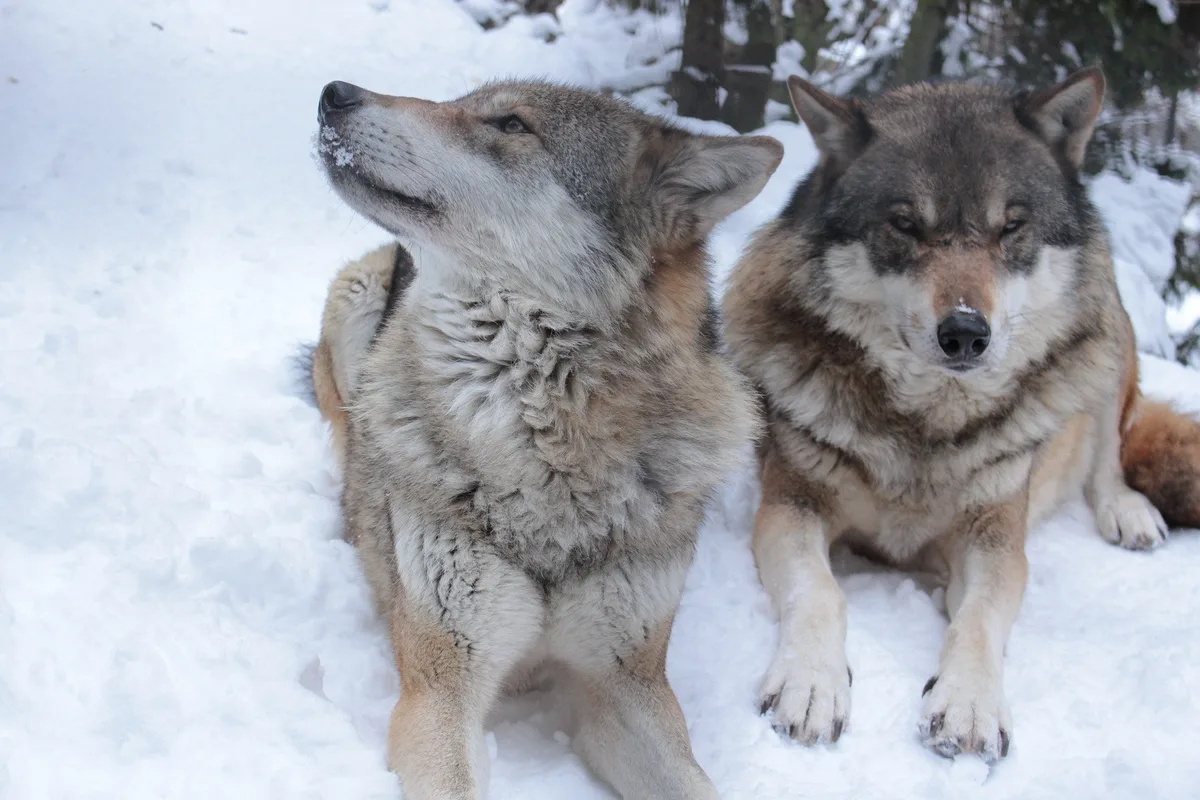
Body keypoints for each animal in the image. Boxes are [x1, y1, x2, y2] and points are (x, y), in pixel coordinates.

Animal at [309, 78, 782, 798]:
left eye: (510, 124)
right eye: (462, 101)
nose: (335, 92)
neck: (548, 452)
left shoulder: (627, 685)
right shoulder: (441, 689)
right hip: (355, 299)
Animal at [722, 66, 1200, 762]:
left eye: (1010, 228)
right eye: (905, 225)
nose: (966, 333)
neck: (926, 424)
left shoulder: (995, 540)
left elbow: (976, 622)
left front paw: (969, 707)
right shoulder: (791, 508)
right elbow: (821, 593)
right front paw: (810, 686)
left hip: (1108, 333)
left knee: (1112, 450)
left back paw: (1128, 512)